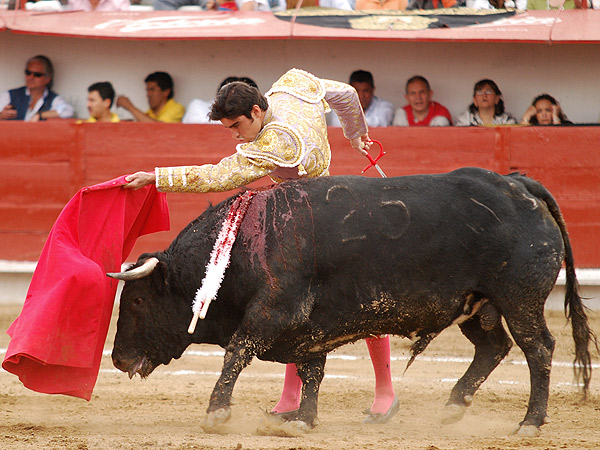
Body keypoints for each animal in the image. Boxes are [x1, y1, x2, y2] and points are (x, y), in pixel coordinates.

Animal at [108, 167, 596, 434]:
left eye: (136, 302)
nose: (116, 359)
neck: (243, 246)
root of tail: (520, 186)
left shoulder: (273, 313)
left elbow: (236, 354)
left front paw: (216, 413)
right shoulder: (307, 329)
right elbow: (312, 371)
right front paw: (302, 419)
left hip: (521, 299)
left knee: (538, 350)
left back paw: (529, 422)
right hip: (476, 304)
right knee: (495, 347)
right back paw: (453, 408)